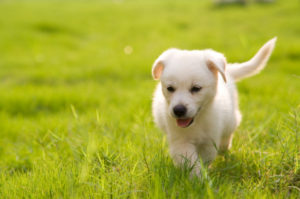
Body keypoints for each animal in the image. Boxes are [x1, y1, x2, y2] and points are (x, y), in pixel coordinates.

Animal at [152, 37, 276, 176]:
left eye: (196, 88)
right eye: (170, 88)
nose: (178, 110)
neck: (198, 121)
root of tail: (228, 71)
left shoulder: (209, 140)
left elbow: (205, 158)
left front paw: (203, 175)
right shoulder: (180, 141)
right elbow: (190, 161)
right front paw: (197, 178)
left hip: (231, 119)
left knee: (227, 135)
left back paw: (224, 147)